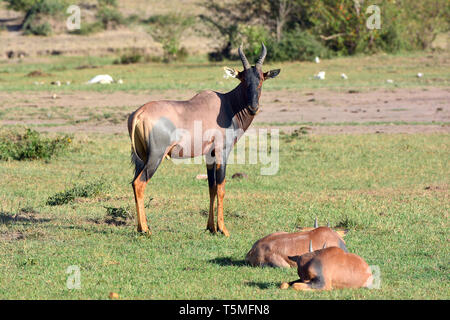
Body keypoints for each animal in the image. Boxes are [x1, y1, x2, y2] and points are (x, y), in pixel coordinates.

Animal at [128, 43, 280, 235]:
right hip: (156, 156)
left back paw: (140, 227)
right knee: (139, 183)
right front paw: (223, 229)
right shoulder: (222, 151)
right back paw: (145, 230)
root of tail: (139, 114)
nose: (254, 108)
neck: (227, 105)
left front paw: (211, 228)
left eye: (261, 79)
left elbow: (211, 187)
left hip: (140, 157)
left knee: (134, 183)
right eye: (243, 79)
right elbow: (221, 187)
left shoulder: (210, 154)